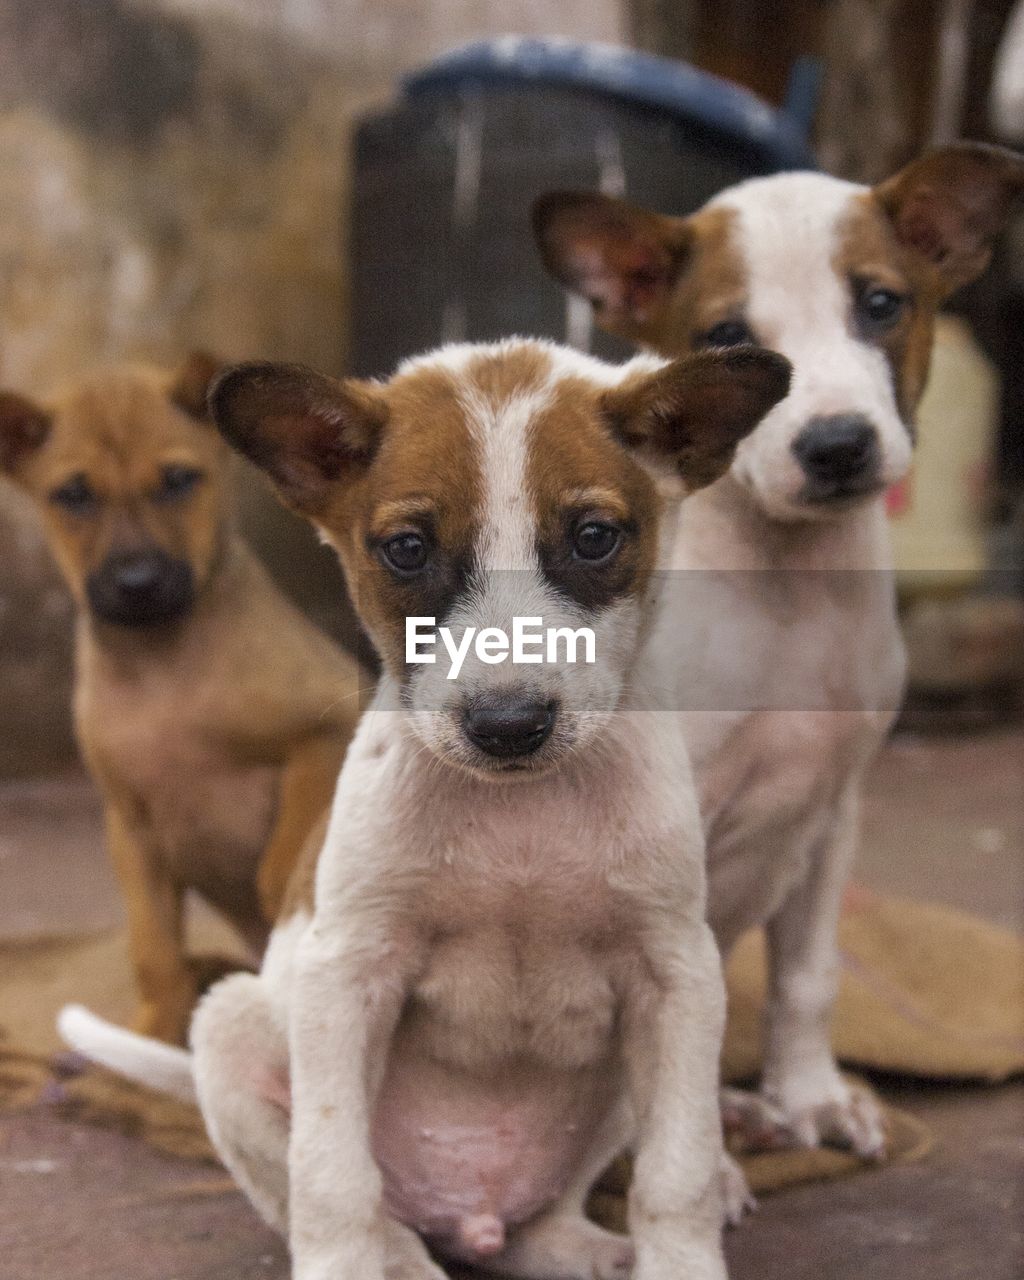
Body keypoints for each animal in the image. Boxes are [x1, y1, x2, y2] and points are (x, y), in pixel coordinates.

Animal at [0, 355, 360, 1044]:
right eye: (73, 495)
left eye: (178, 480)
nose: (137, 583)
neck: (161, 665)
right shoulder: (131, 829)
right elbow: (153, 948)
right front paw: (150, 1032)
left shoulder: (327, 731)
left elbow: (281, 862)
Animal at [60, 340, 788, 1280]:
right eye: (407, 550)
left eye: (594, 537)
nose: (508, 725)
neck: (518, 821)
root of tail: (469, 1213)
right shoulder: (346, 974)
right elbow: (332, 1178)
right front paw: (341, 1264)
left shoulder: (677, 975)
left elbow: (679, 1171)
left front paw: (681, 1262)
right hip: (231, 1024)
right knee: (361, 1210)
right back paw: (402, 1260)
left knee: (540, 1224)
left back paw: (593, 1253)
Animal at [532, 142, 1024, 1162]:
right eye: (725, 334)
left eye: (880, 303)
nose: (836, 445)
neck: (790, 586)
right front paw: (702, 1170)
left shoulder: (832, 812)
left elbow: (808, 979)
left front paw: (810, 1099)